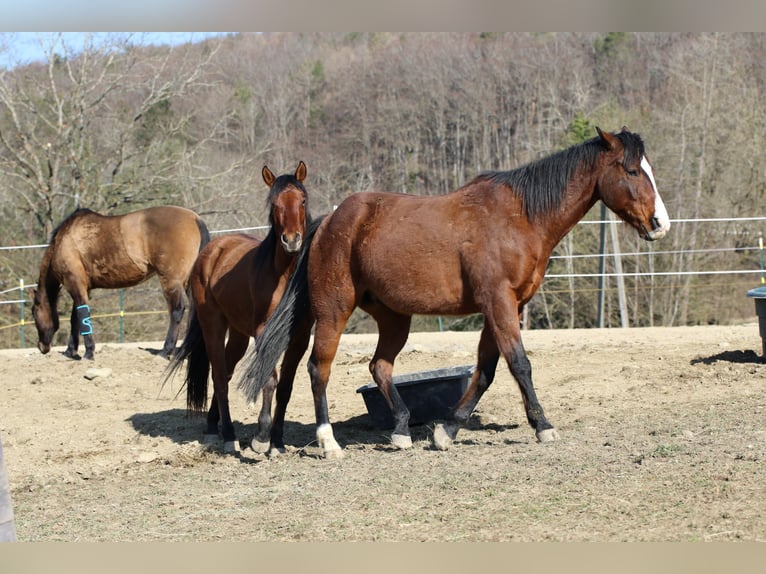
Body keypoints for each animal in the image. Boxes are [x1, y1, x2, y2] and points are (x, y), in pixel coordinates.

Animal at [33, 206, 210, 360]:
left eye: (34, 314)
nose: (42, 347)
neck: (64, 239)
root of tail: (195, 219)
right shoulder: (83, 288)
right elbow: (75, 317)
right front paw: (71, 351)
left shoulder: (74, 284)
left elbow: (82, 315)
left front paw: (88, 352)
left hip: (171, 281)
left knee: (176, 311)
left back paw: (165, 351)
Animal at [166, 162, 314, 454]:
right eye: (275, 203)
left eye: (302, 200)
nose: (291, 240)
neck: (283, 275)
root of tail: (213, 249)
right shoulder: (262, 332)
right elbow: (269, 378)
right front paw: (261, 437)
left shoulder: (299, 338)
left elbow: (286, 387)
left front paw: (277, 442)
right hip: (213, 324)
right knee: (220, 377)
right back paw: (228, 435)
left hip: (238, 334)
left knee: (226, 370)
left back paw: (214, 427)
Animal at [242, 126, 672, 460]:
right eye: (632, 170)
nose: (660, 223)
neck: (521, 217)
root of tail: (328, 221)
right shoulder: (499, 302)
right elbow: (519, 364)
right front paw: (543, 425)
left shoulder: (505, 307)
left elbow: (486, 371)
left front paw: (447, 431)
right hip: (334, 311)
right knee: (319, 369)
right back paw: (328, 441)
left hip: (393, 317)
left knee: (379, 367)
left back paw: (400, 431)